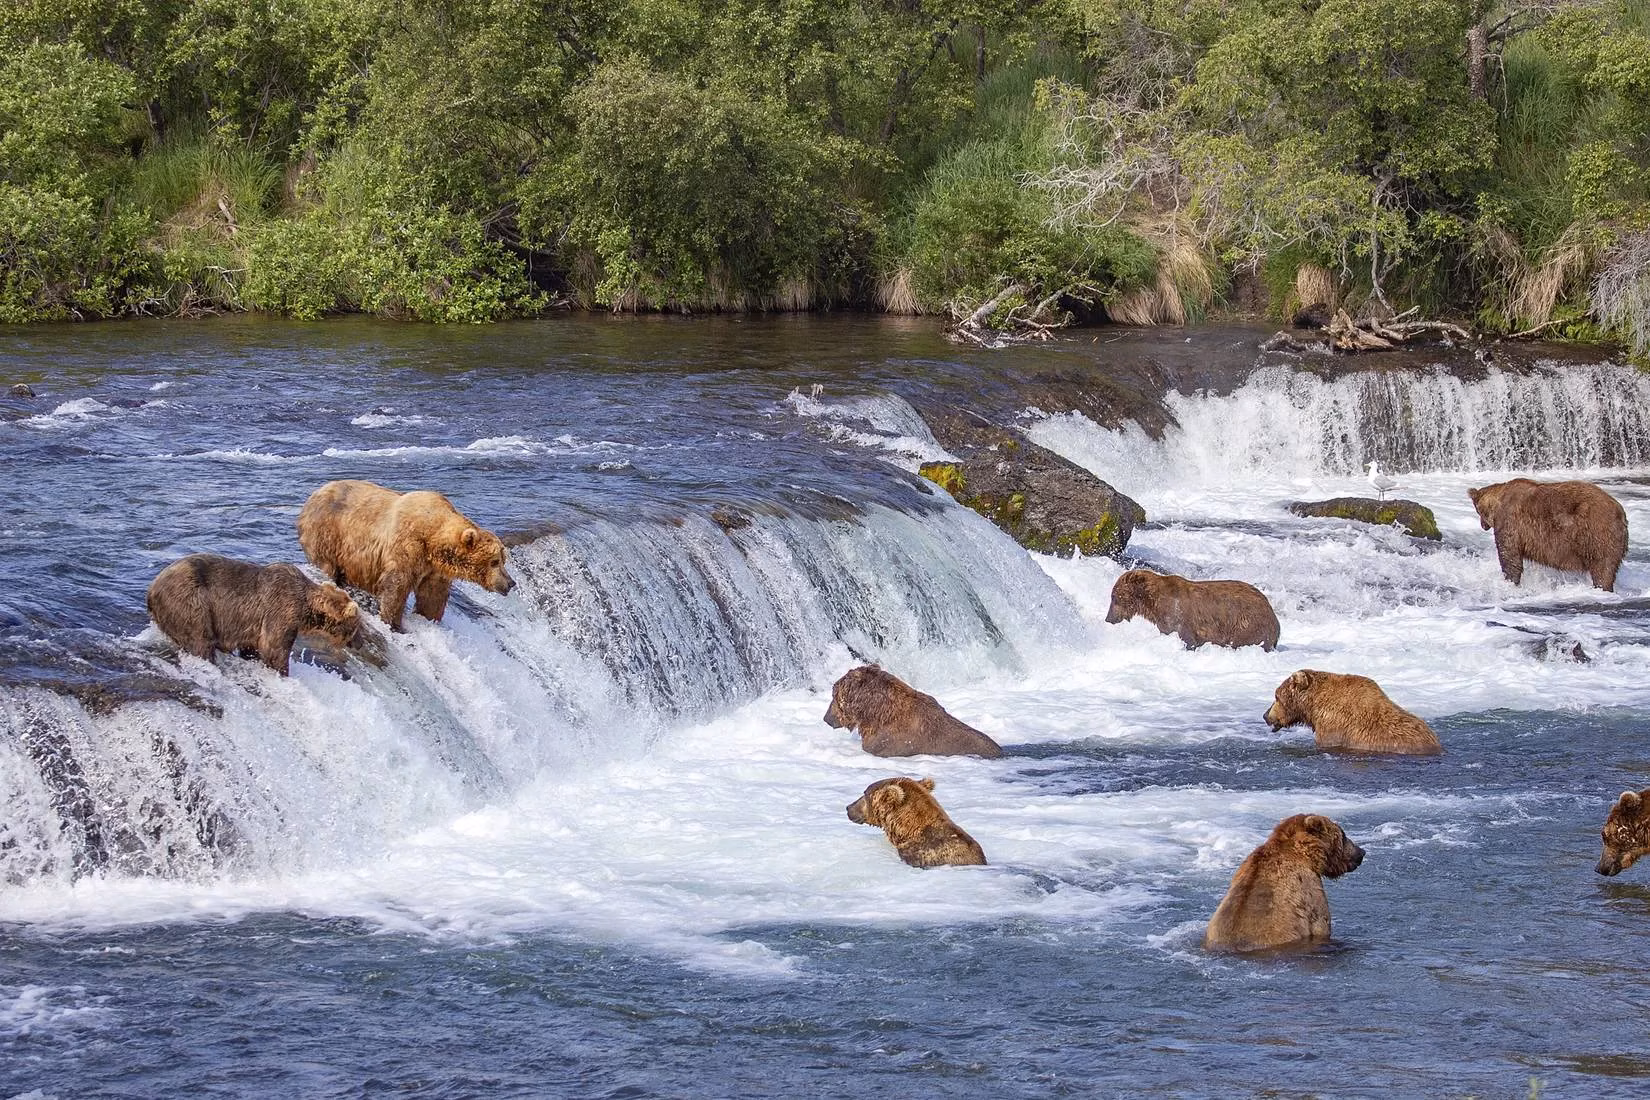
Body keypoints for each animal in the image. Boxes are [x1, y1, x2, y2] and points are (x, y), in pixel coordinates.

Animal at [146, 554, 362, 677]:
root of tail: (151, 589)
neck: (306, 607)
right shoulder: (280, 610)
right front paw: (282, 671)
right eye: (357, 626)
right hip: (190, 601)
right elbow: (274, 649)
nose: (360, 644)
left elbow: (253, 648)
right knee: (199, 639)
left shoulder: (253, 626)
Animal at [296, 479, 516, 632]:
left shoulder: (433, 569)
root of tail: (311, 497)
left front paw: (429, 617)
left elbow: (432, 595)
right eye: (494, 561)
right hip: (328, 535)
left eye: (503, 560)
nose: (510, 583)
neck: (433, 539)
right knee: (326, 563)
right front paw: (393, 622)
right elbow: (396, 586)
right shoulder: (407, 547)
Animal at [1105, 569, 1281, 651]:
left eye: (1114, 596)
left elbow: (1186, 638)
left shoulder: (1178, 616)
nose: (1108, 619)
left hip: (1247, 624)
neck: (1152, 603)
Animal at [1468, 478, 1628, 592]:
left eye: (1477, 511)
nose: (1483, 526)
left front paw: (1510, 581)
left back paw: (1602, 587)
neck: (1497, 502)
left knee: (1603, 568)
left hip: (1596, 534)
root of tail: (1621, 512)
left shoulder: (1509, 521)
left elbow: (1509, 556)